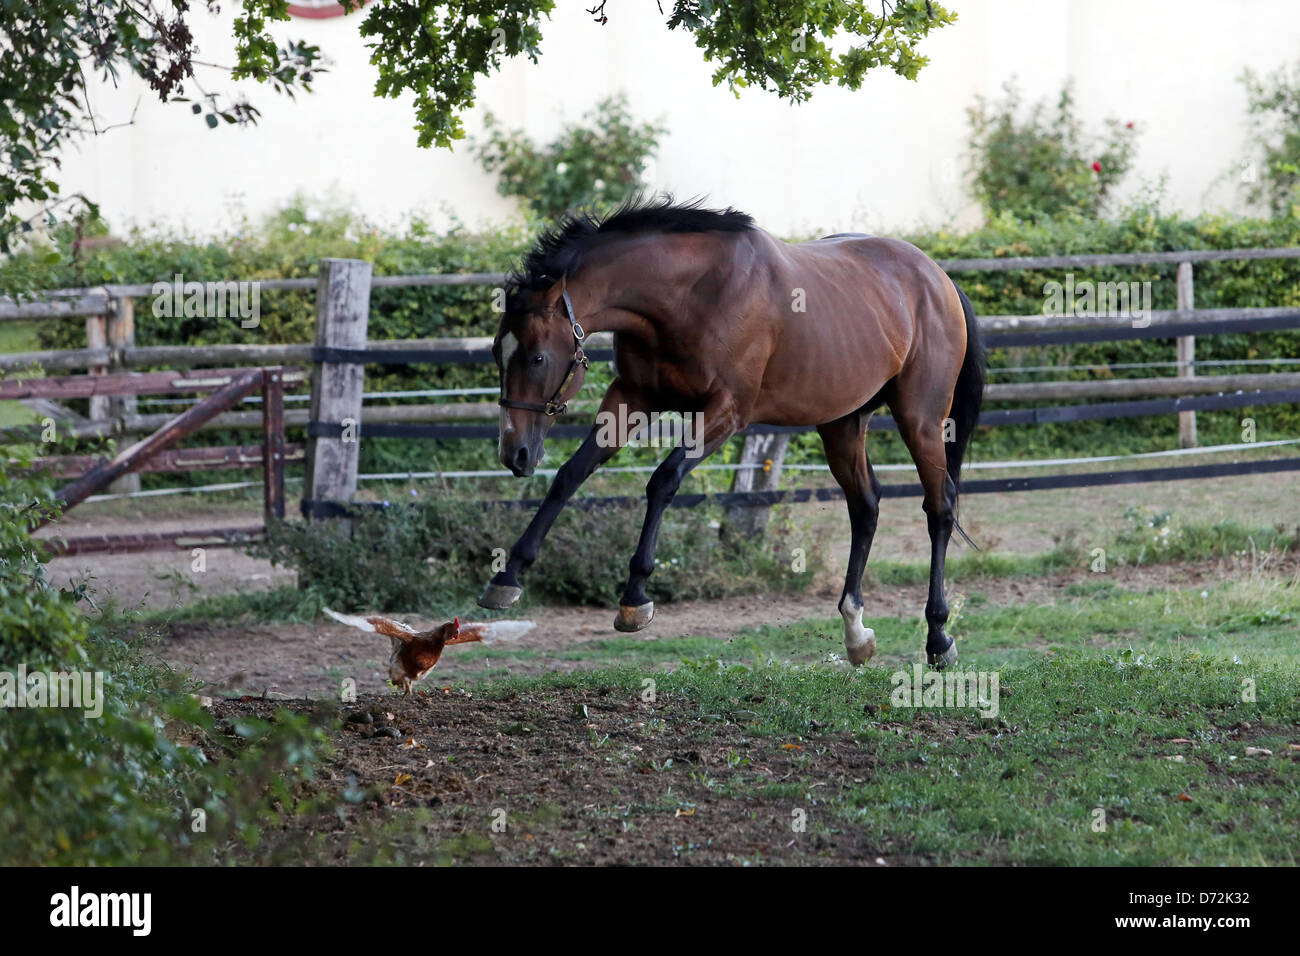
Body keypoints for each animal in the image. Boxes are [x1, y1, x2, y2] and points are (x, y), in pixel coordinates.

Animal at [478, 197, 982, 671]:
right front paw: (507, 578)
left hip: (920, 419)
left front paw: (635, 596)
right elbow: (571, 474)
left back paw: (938, 638)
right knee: (866, 505)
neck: (691, 295)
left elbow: (663, 481)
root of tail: (938, 278)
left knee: (939, 507)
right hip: (842, 423)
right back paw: (856, 633)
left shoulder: (726, 412)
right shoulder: (633, 397)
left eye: (538, 357)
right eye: (497, 352)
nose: (514, 453)